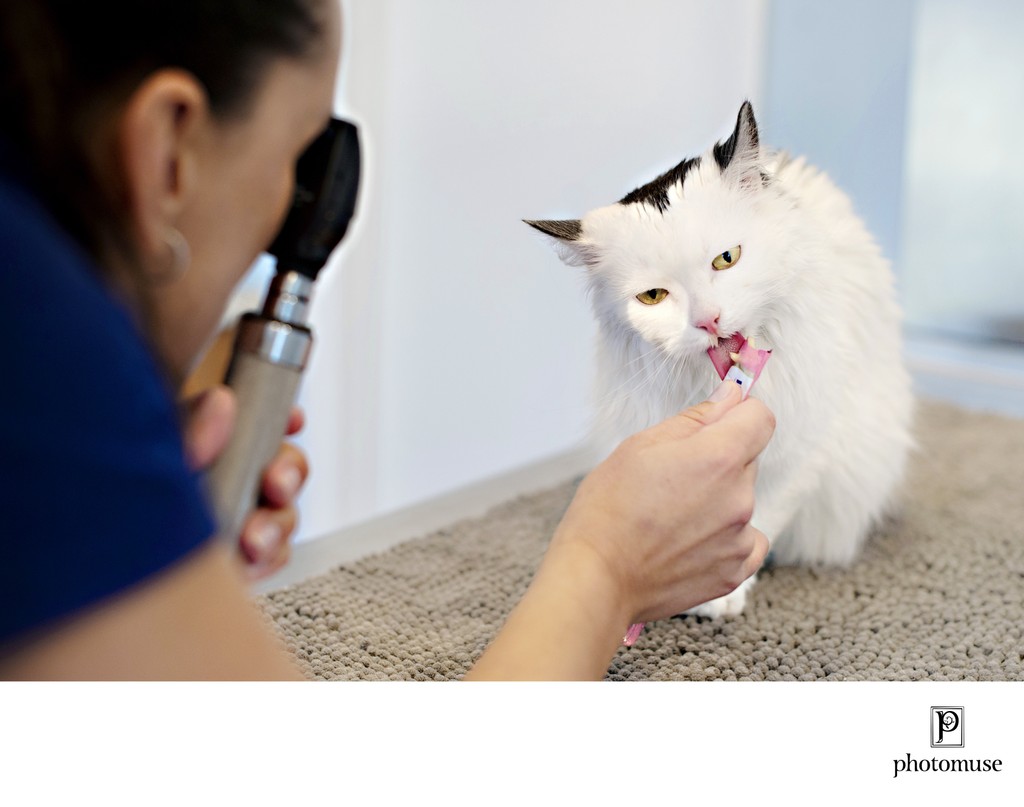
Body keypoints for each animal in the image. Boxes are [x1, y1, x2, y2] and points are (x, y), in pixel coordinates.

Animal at [526, 101, 914, 618]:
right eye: (653, 296)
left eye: (726, 259)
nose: (708, 321)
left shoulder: (804, 445)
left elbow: (762, 517)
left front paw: (724, 594)